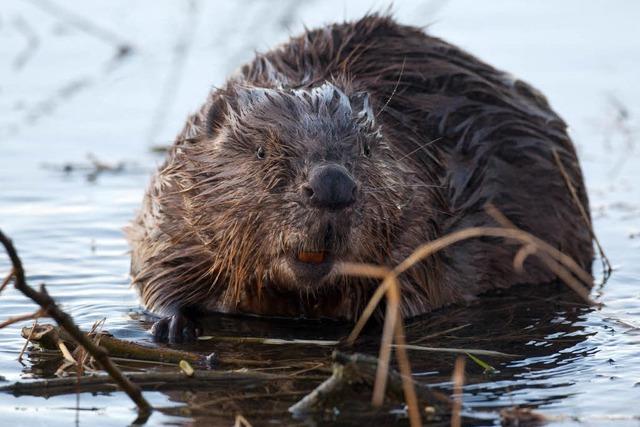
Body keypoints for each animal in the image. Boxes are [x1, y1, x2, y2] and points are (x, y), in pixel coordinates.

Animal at [126, 15, 596, 342]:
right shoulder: (172, 206)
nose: (332, 186)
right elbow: (156, 270)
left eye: (367, 150)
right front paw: (172, 324)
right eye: (261, 151)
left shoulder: (425, 216)